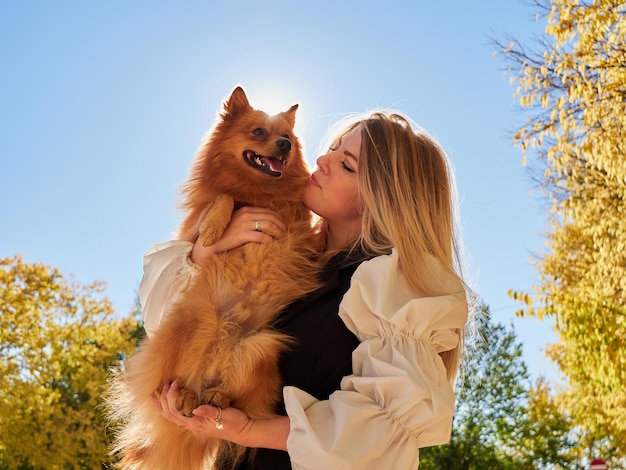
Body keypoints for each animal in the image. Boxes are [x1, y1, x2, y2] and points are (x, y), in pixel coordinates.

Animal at [106, 88, 322, 470]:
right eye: (258, 132)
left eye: (287, 137)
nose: (284, 144)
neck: (259, 192)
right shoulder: (193, 227)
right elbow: (221, 200)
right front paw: (214, 227)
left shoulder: (301, 223)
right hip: (196, 321)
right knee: (180, 380)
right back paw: (187, 395)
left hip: (261, 347)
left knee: (233, 397)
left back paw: (218, 397)